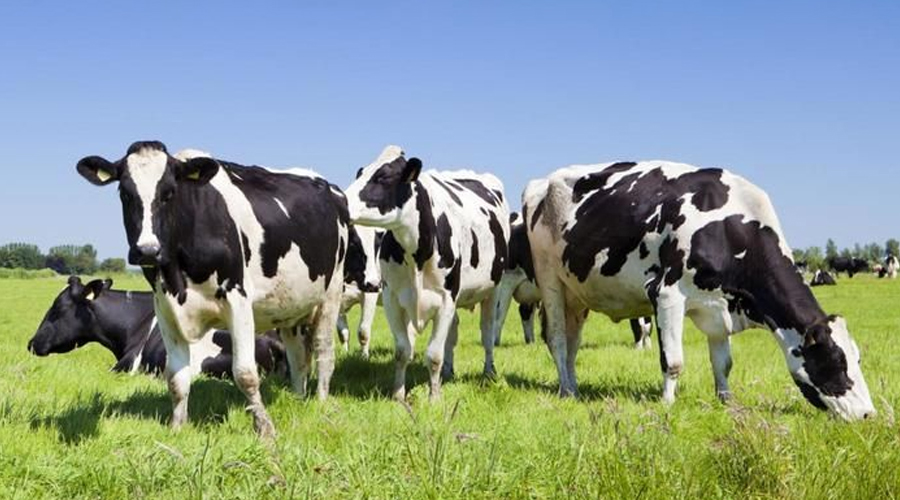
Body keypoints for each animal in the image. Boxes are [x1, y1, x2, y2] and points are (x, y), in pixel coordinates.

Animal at [76, 141, 349, 438]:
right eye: (125, 193)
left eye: (169, 193)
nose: (147, 250)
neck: (178, 276)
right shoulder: (165, 309)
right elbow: (176, 377)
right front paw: (177, 428)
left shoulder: (238, 300)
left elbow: (245, 373)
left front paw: (264, 429)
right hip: (290, 307)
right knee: (297, 356)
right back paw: (298, 399)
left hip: (331, 292)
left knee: (324, 350)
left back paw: (321, 403)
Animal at [338, 225, 383, 358]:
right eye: (353, 244)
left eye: (377, 247)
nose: (374, 284)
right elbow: (343, 333)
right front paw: (344, 354)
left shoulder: (370, 294)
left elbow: (363, 331)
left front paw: (364, 357)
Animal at [344, 145, 510, 401]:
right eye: (360, 174)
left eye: (383, 177)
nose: (340, 201)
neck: (417, 254)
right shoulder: (393, 298)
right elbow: (403, 350)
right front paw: (398, 395)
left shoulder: (446, 299)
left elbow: (433, 355)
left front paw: (434, 398)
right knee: (453, 333)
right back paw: (449, 372)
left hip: (494, 289)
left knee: (487, 333)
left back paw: (488, 372)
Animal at [493, 213, 654, 349]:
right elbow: (639, 322)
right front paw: (639, 347)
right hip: (506, 283)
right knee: (500, 313)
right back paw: (496, 343)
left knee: (525, 312)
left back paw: (531, 342)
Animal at [525, 161, 875, 420]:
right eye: (835, 360)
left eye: (857, 358)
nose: (868, 414)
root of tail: (542, 182)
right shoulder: (666, 294)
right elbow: (673, 361)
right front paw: (667, 405)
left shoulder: (719, 307)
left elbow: (723, 364)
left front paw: (727, 401)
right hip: (549, 279)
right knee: (557, 339)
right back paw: (566, 391)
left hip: (577, 294)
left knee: (573, 343)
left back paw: (574, 386)